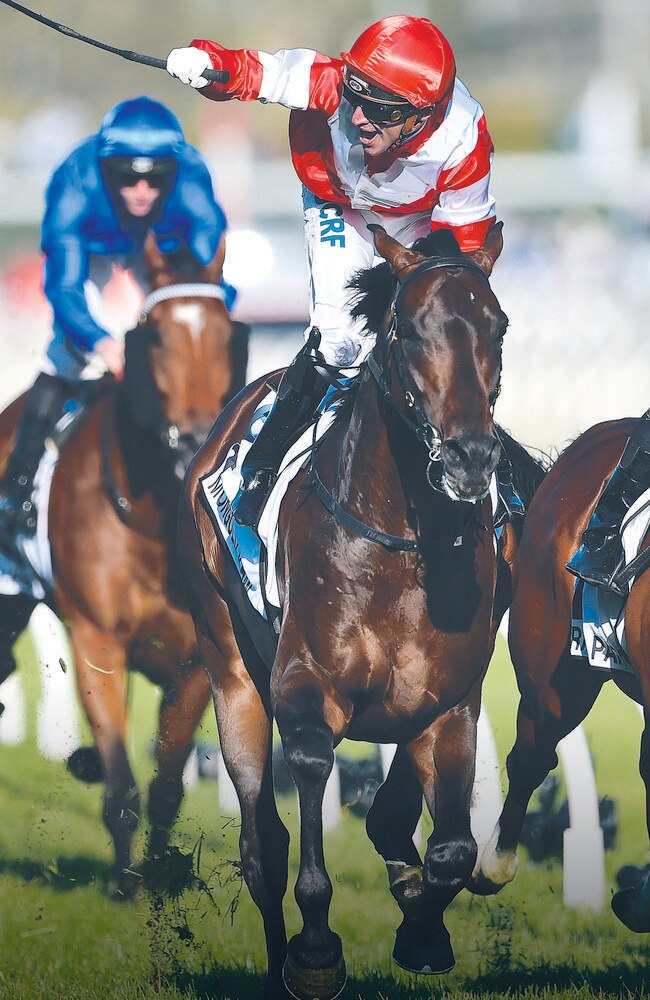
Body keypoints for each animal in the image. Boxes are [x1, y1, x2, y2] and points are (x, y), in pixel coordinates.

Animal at [0, 234, 246, 900]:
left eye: (227, 332)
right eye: (154, 335)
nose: (193, 442)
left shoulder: (196, 658)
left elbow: (165, 787)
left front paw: (156, 881)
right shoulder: (97, 643)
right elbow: (122, 788)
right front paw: (125, 886)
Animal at [178, 223, 548, 996]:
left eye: (497, 327)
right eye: (408, 331)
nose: (471, 457)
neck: (404, 544)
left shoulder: (449, 699)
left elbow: (452, 850)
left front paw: (422, 929)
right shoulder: (305, 686)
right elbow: (311, 784)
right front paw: (317, 954)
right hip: (230, 668)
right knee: (263, 842)